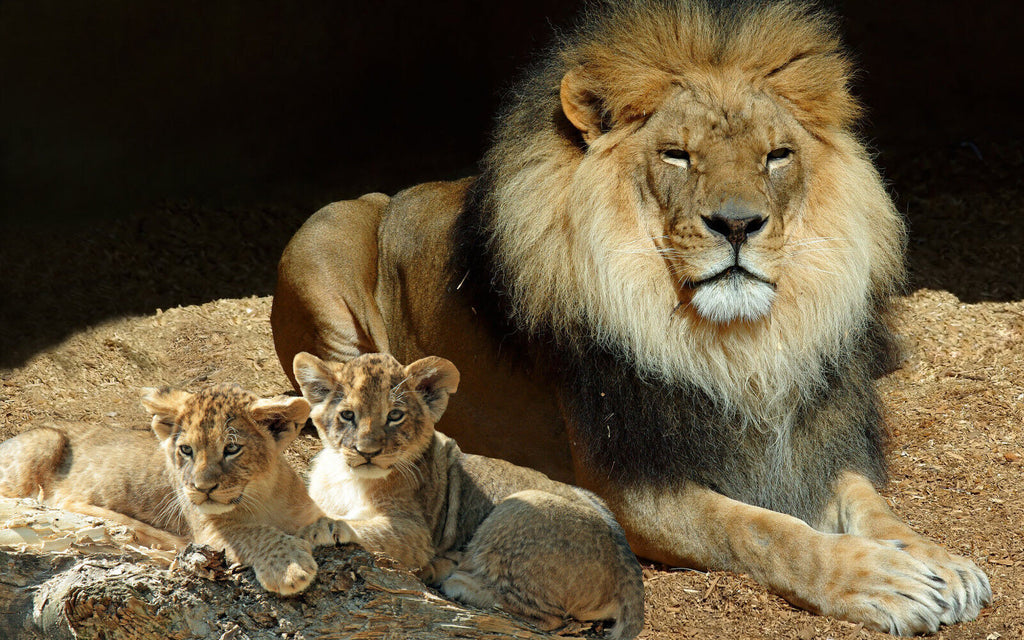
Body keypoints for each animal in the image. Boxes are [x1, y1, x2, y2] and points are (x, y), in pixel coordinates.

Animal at [0, 383, 353, 595]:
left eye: (232, 449)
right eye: (186, 450)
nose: (202, 488)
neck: (262, 496)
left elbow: (326, 518)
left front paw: (335, 527)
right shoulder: (208, 532)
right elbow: (253, 532)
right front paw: (289, 568)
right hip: (45, 439)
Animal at [293, 351, 644, 638]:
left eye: (395, 415)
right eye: (347, 415)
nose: (367, 452)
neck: (346, 477)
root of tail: (628, 563)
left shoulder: (415, 533)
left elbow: (362, 526)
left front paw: (321, 527)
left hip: (519, 508)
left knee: (548, 618)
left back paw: (452, 578)